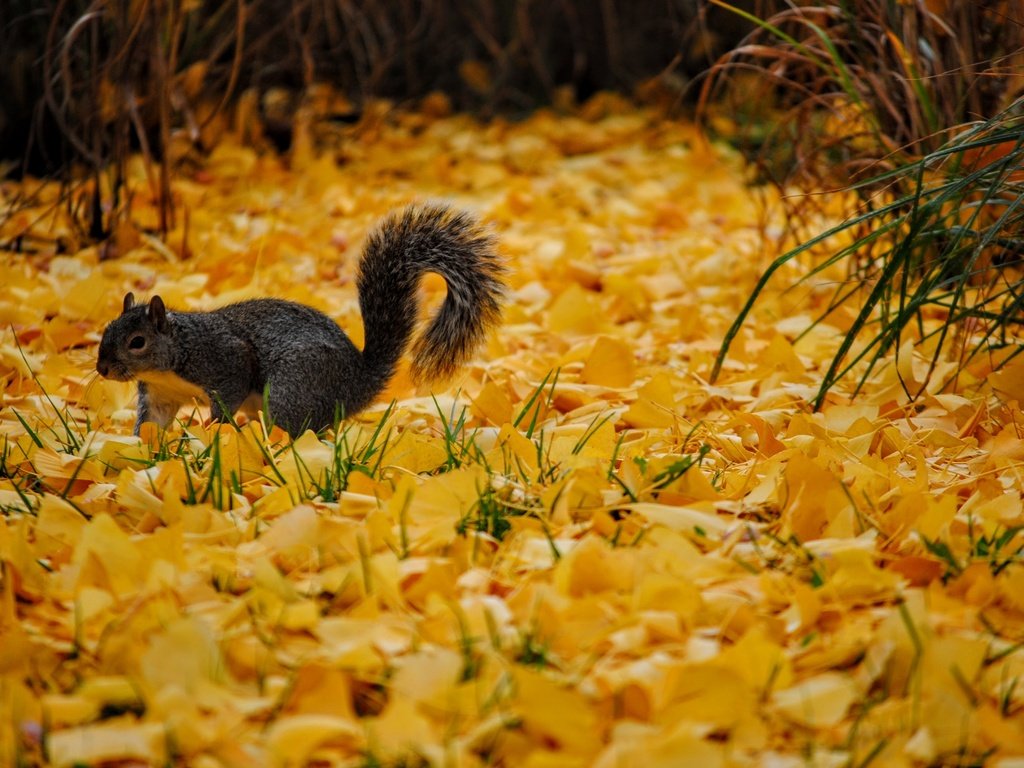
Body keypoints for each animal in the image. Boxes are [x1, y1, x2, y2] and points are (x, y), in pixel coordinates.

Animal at [96, 201, 503, 436]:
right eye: (106, 331)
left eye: (137, 342)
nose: (102, 369)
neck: (174, 355)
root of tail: (356, 383)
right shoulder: (160, 394)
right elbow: (152, 423)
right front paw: (141, 451)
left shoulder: (224, 359)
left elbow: (229, 393)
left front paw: (216, 434)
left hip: (293, 387)